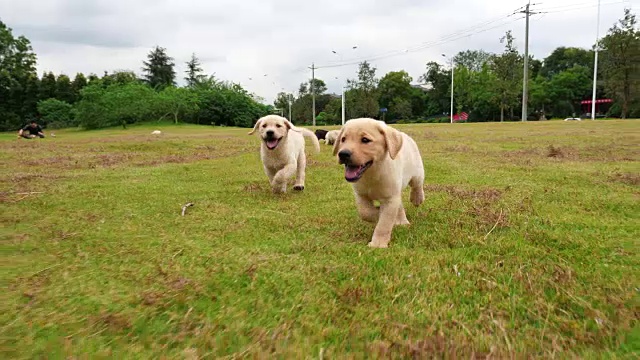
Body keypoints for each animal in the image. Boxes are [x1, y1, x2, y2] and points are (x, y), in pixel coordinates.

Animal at [332, 118, 422, 248]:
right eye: (343, 139)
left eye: (365, 140)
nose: (343, 154)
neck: (371, 173)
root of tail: (404, 135)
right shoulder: (361, 195)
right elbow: (365, 212)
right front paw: (377, 213)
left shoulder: (390, 199)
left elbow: (384, 223)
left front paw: (378, 244)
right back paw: (401, 221)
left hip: (417, 172)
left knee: (417, 185)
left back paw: (417, 199)